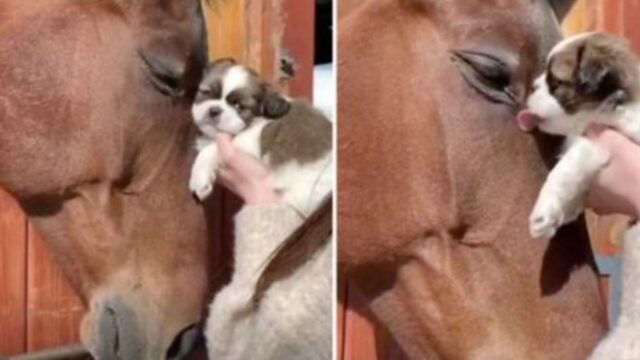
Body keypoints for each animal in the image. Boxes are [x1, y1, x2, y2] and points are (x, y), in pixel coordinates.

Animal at [189, 59, 332, 217]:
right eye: (206, 93)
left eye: (239, 106)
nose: (214, 110)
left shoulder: (248, 145)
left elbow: (208, 150)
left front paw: (199, 180)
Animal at [516, 31, 640, 360]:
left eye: (555, 81)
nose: (530, 87)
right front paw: (554, 215)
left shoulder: (602, 142)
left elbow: (565, 167)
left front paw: (543, 210)